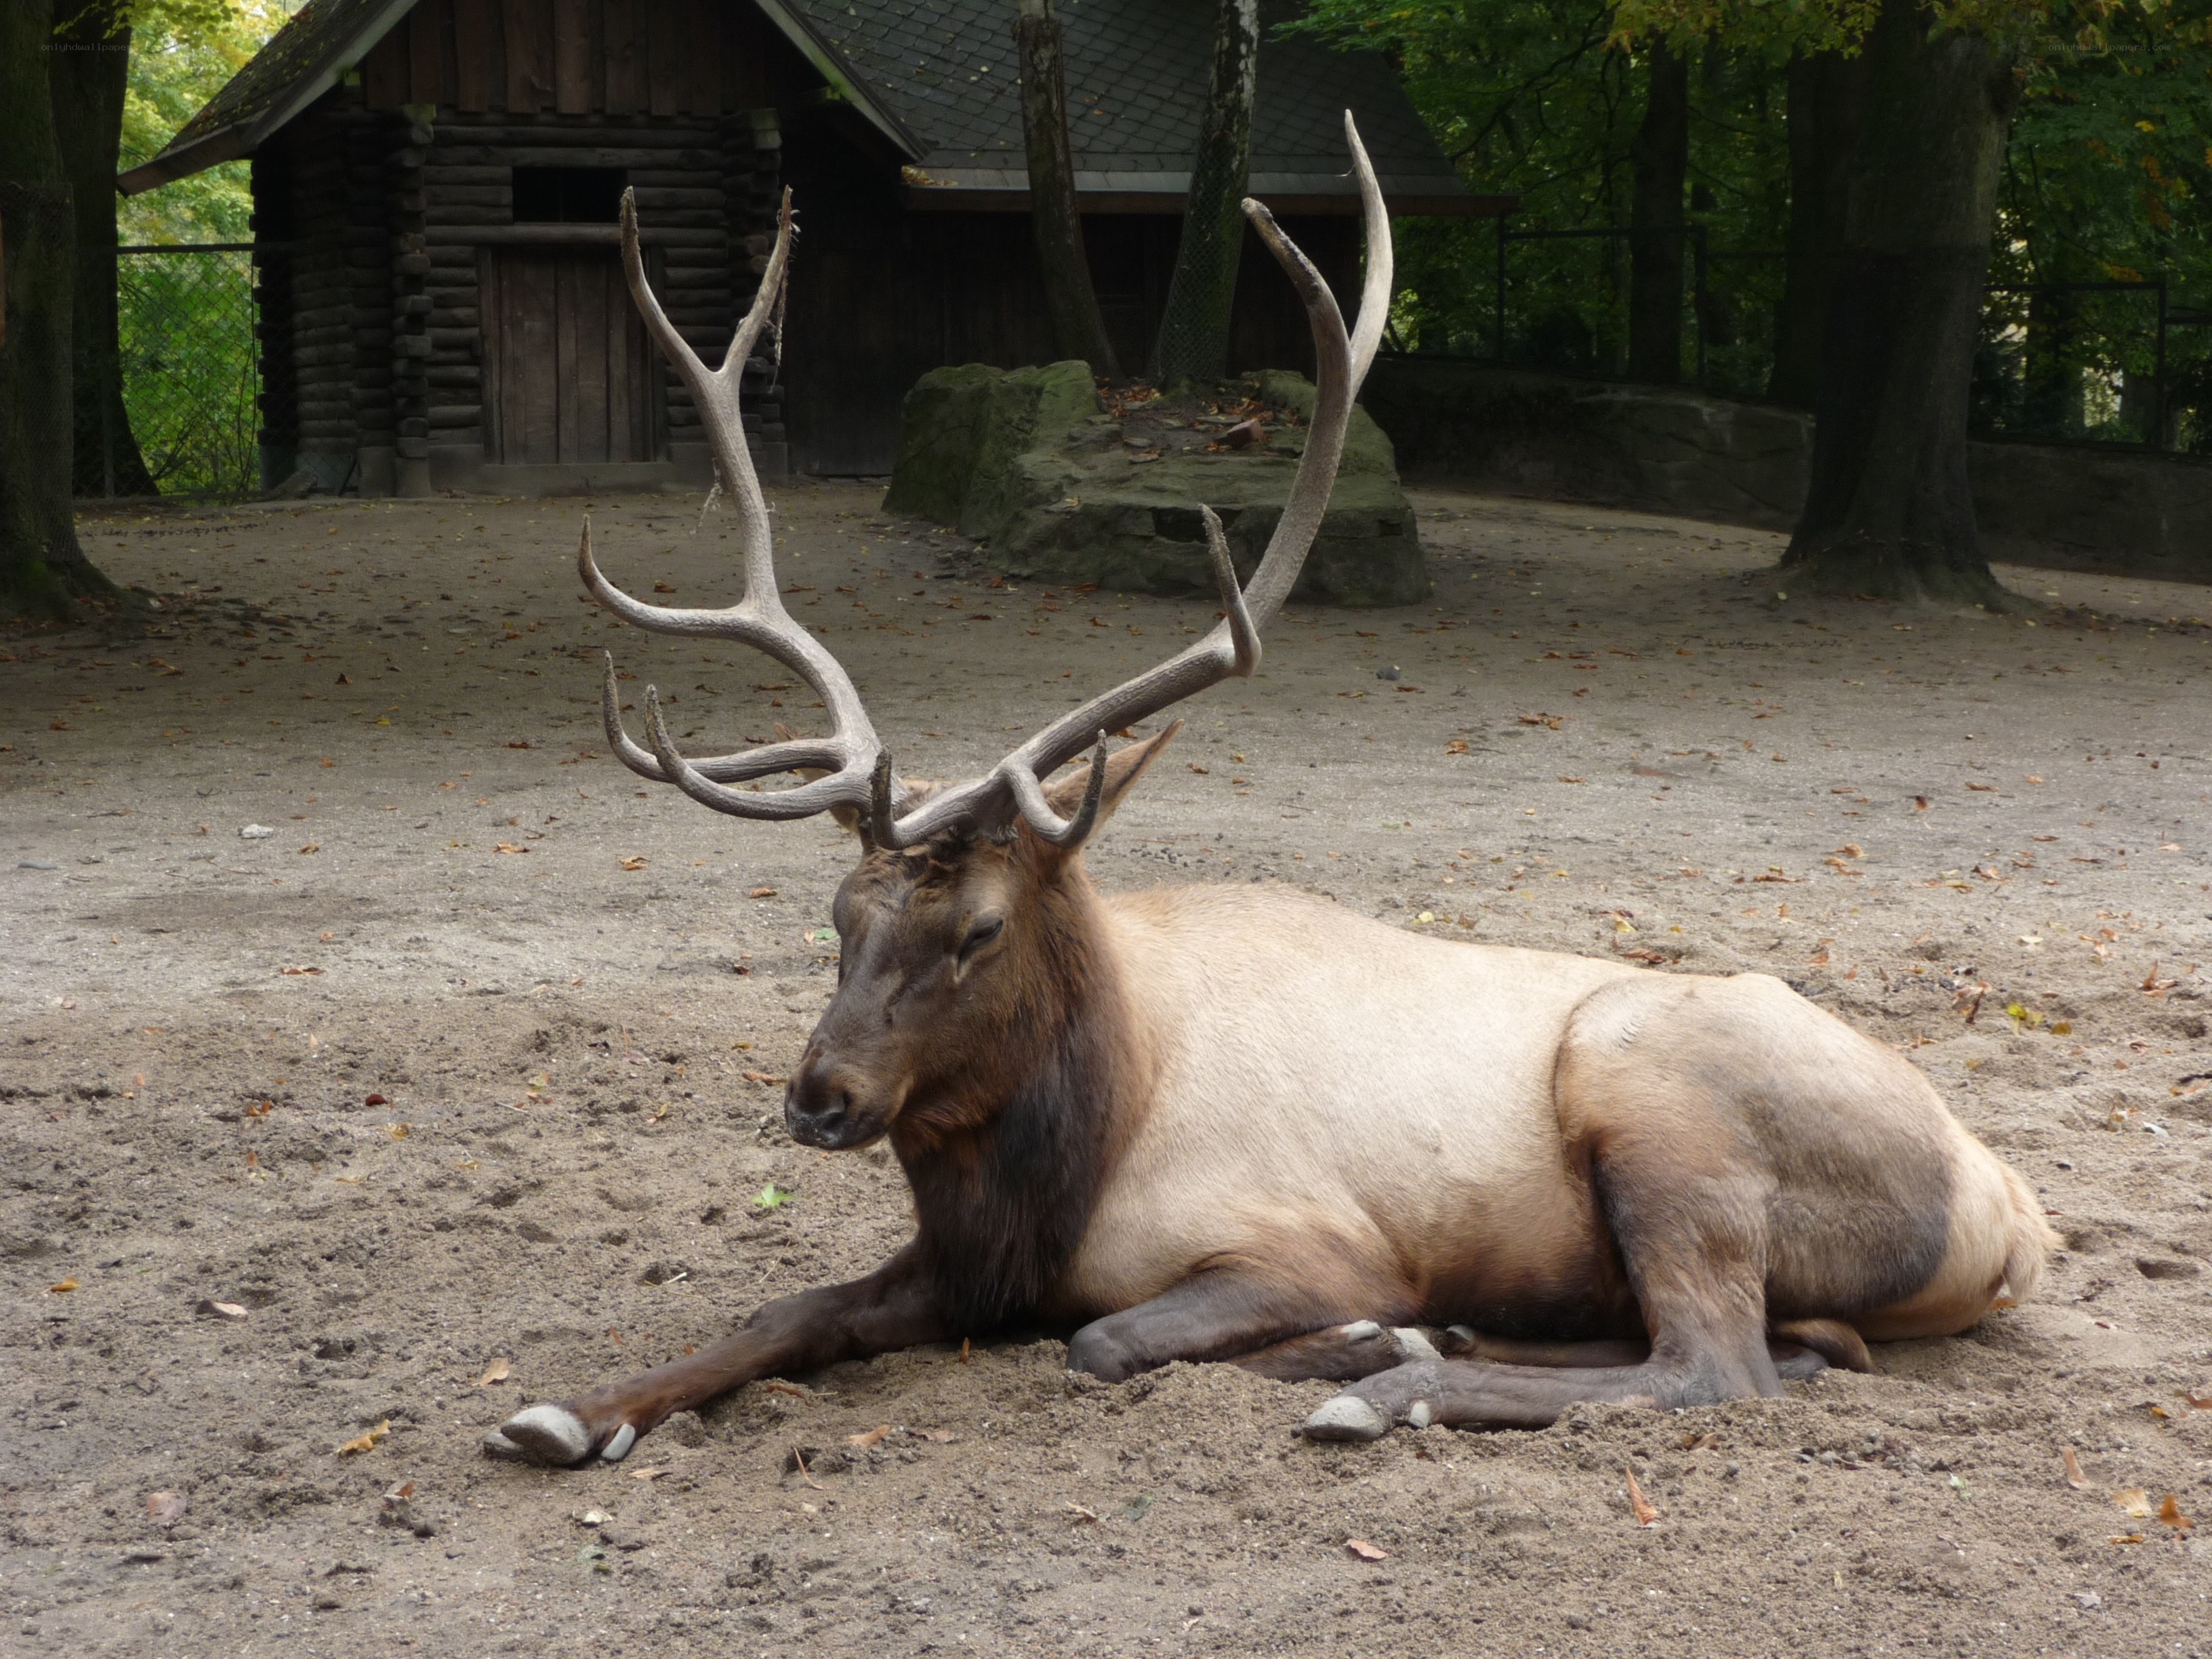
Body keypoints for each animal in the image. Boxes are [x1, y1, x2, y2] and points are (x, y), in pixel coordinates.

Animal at [485, 115, 2054, 1469]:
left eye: (979, 927)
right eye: (833, 912)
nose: (820, 1097)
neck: (1065, 1159)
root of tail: (2013, 1212)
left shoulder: (1304, 1236)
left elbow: (1107, 1339)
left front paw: (1365, 1342)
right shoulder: (958, 1267)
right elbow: (786, 1309)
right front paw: (567, 1411)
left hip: (1654, 1095)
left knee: (1712, 1363)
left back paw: (1388, 1381)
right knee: (1782, 1343)